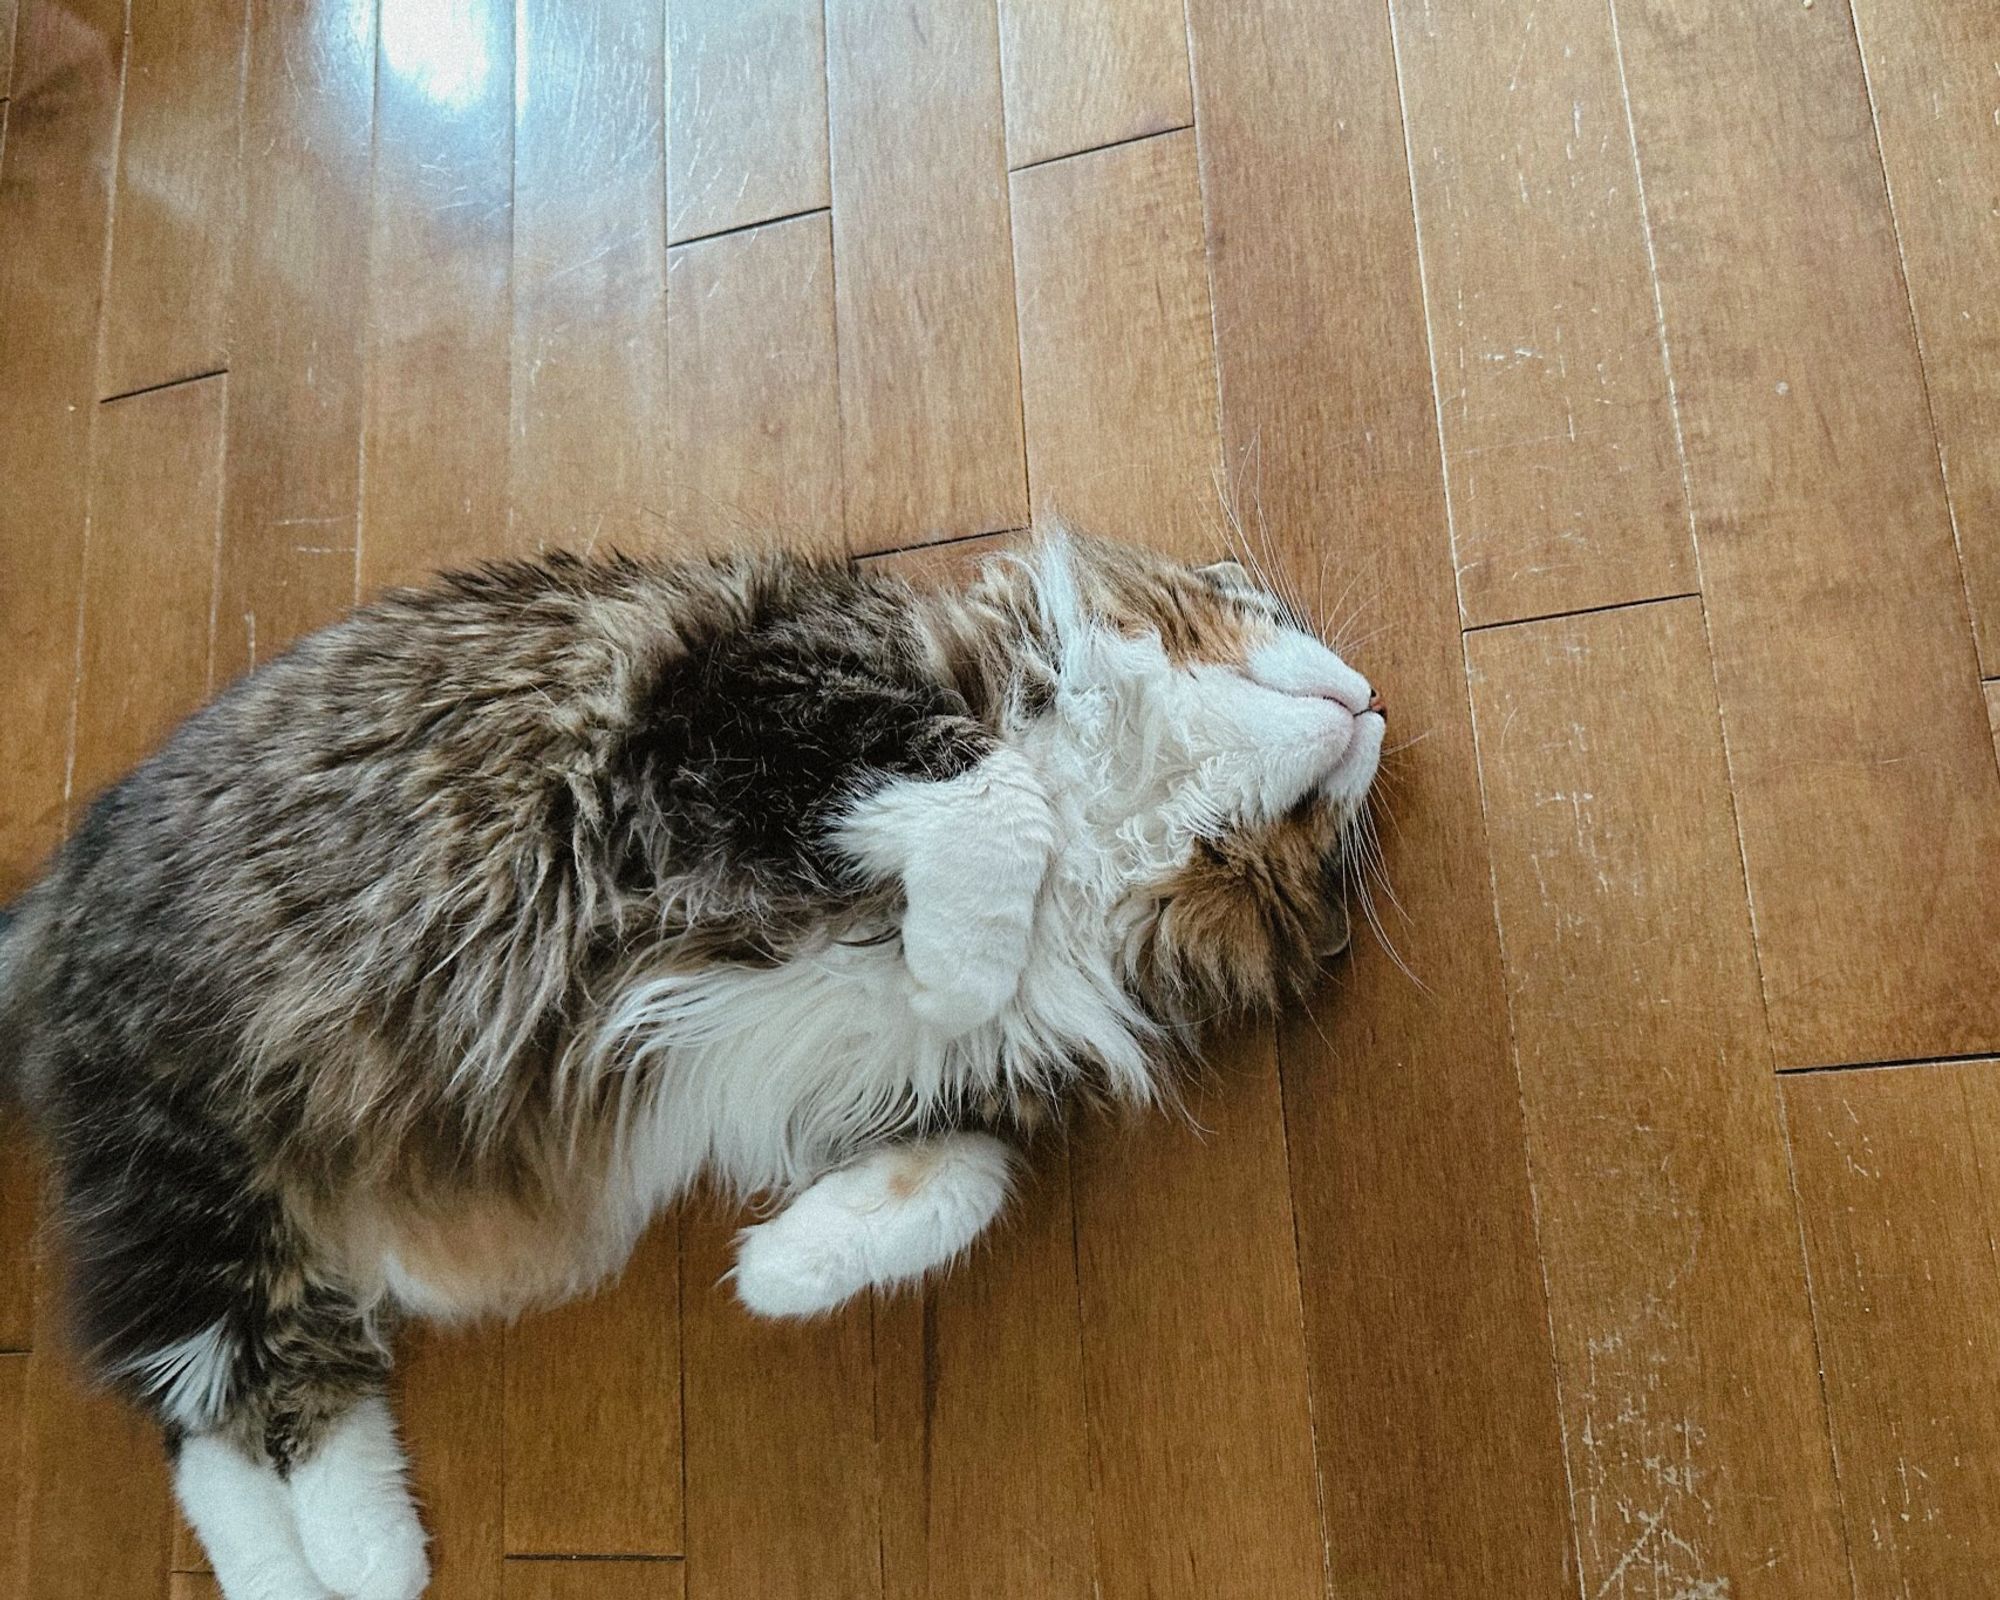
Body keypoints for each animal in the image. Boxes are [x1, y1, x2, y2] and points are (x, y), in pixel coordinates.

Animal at [0, 528, 1376, 1600]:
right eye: (1256, 612)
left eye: (1316, 847)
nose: (1366, 698)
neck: (1102, 811)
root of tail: (58, 889)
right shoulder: (738, 712)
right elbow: (986, 806)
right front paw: (962, 953)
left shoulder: (932, 1082)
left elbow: (966, 1174)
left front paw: (780, 1271)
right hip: (185, 1167)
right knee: (204, 1401)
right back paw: (352, 1566)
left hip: (234, 1213)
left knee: (251, 1404)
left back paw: (357, 1557)